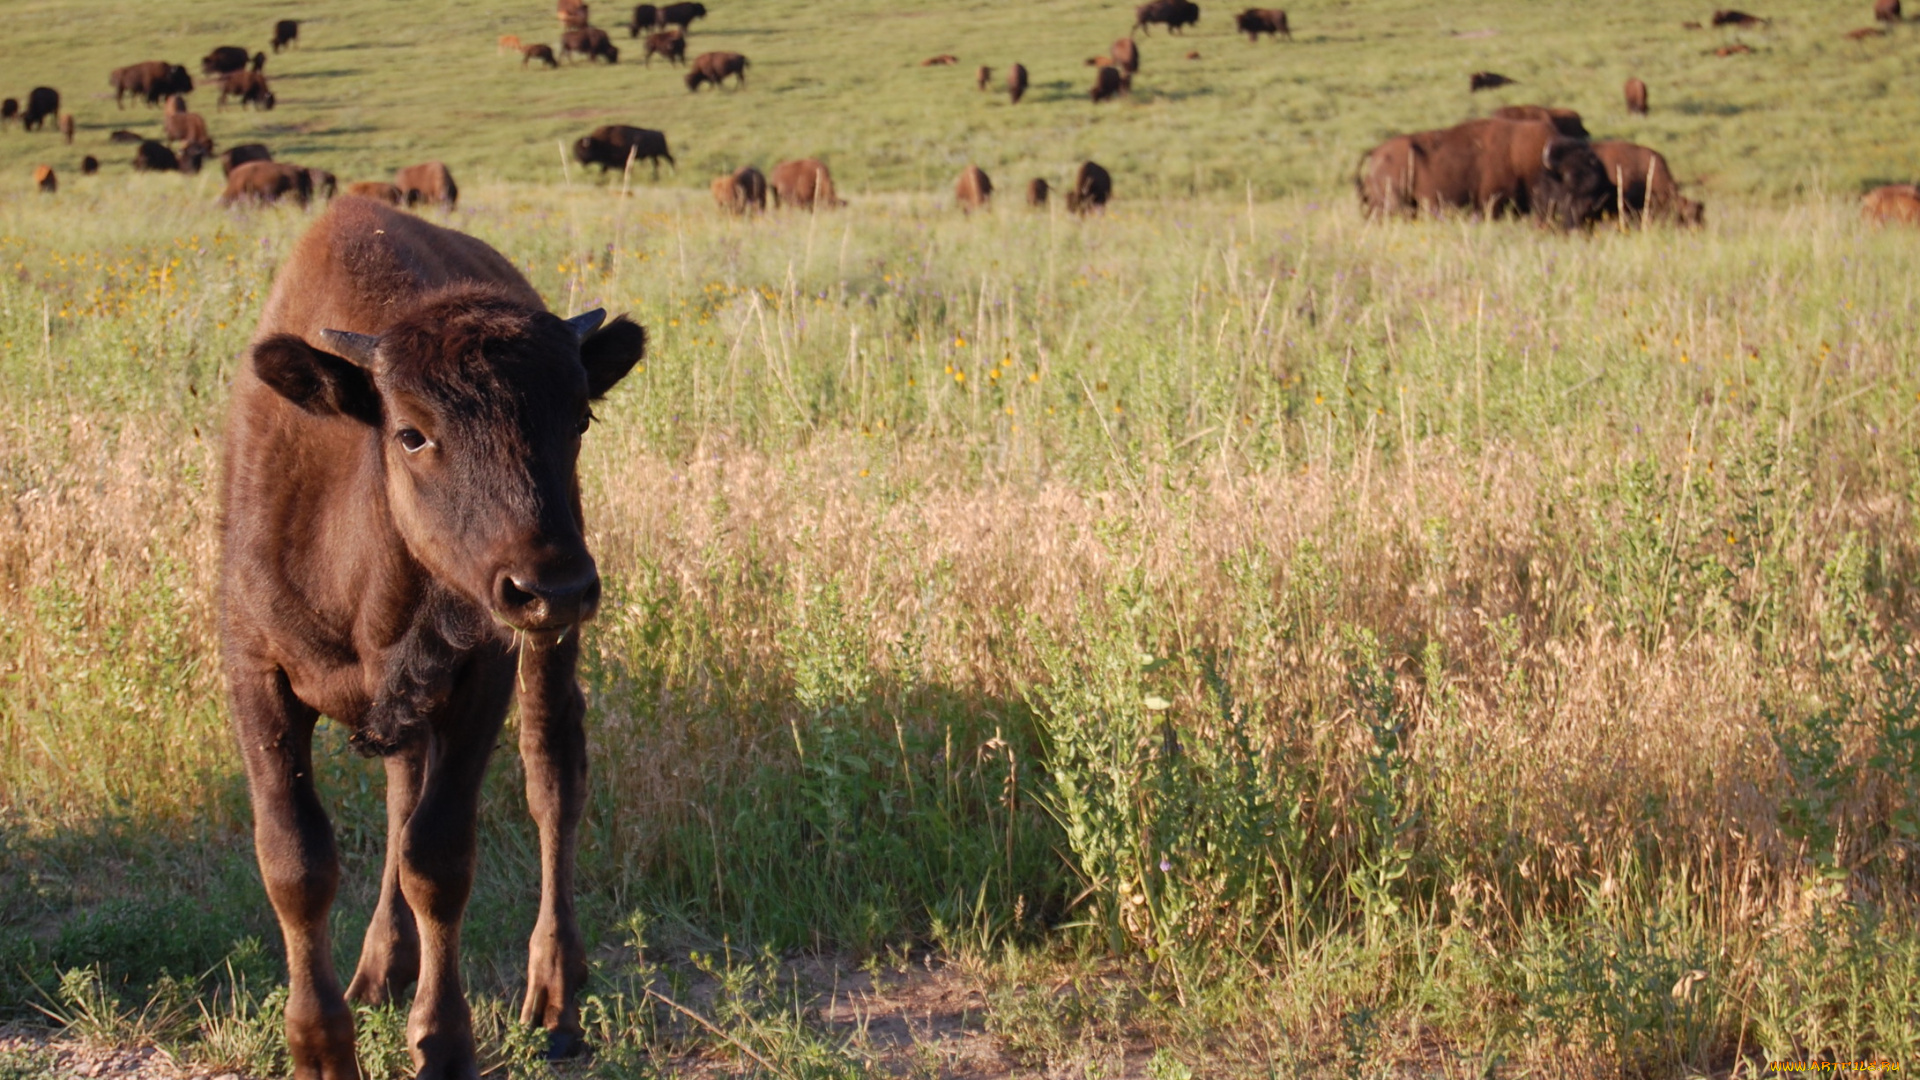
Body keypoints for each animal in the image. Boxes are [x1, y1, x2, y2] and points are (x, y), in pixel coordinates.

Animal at [214, 193, 641, 1076]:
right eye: (412, 432)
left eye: (579, 418)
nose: (553, 587)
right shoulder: (255, 674)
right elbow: (296, 860)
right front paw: (321, 1048)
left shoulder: (484, 671)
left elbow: (436, 858)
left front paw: (442, 1044)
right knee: (401, 787)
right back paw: (383, 966)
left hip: (545, 649)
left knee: (553, 773)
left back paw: (556, 996)